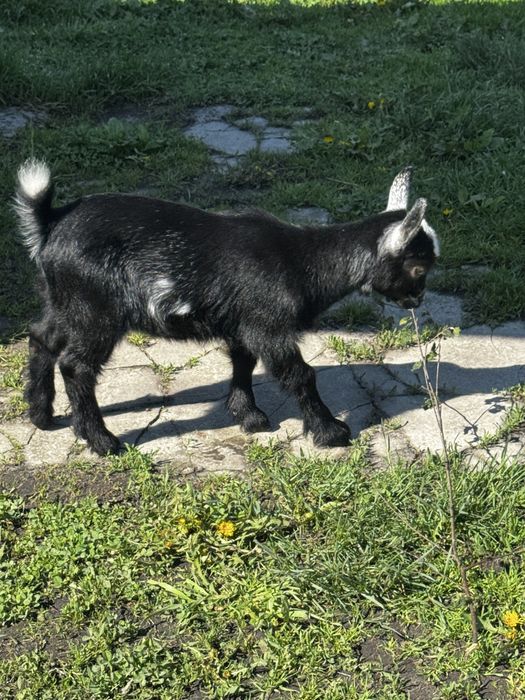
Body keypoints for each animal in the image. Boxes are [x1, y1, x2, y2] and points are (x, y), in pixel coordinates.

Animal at [15, 160, 439, 456]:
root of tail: (51, 223)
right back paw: (102, 441)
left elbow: (243, 363)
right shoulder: (269, 325)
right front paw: (331, 431)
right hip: (96, 309)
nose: (416, 301)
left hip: (64, 302)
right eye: (418, 268)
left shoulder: (243, 323)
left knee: (41, 337)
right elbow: (300, 374)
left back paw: (42, 414)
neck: (305, 262)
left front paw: (248, 416)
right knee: (76, 365)